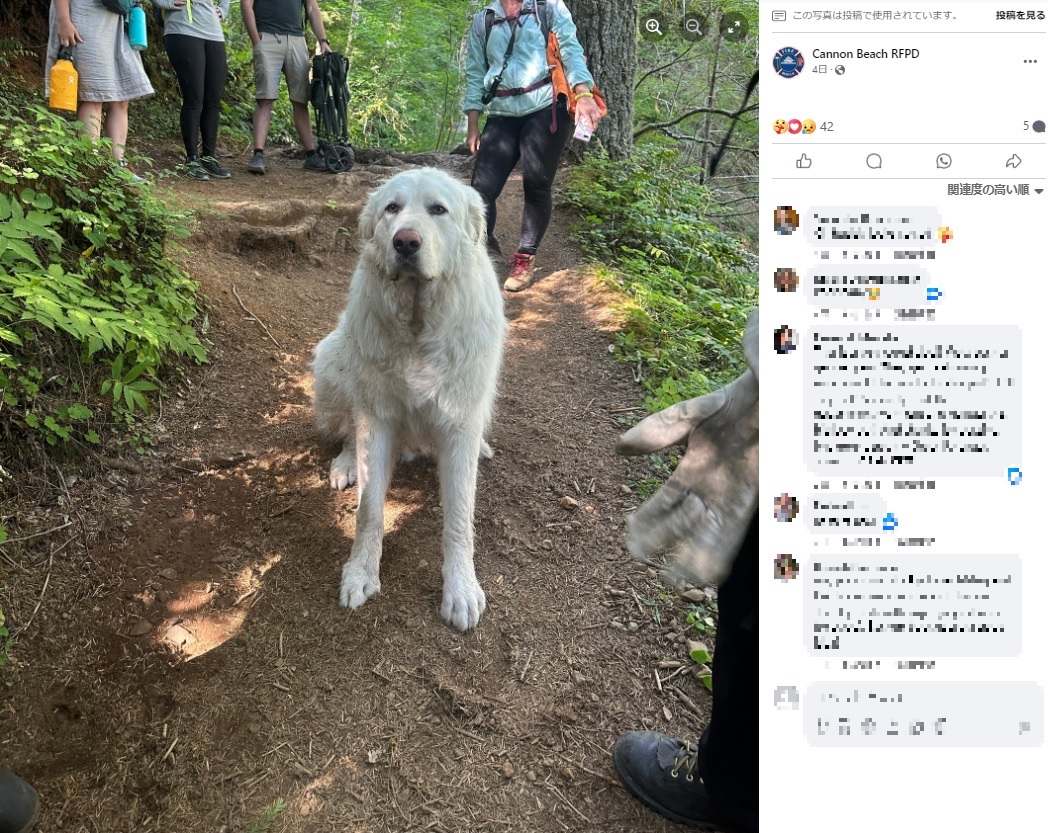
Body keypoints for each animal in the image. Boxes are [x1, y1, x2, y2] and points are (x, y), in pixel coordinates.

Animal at [310, 167, 507, 632]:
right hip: (333, 359)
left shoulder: (458, 423)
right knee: (348, 429)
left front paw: (461, 590)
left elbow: (459, 519)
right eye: (392, 209)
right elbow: (368, 510)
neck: (419, 324)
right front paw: (360, 573)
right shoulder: (378, 419)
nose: (405, 242)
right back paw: (346, 462)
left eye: (438, 209)